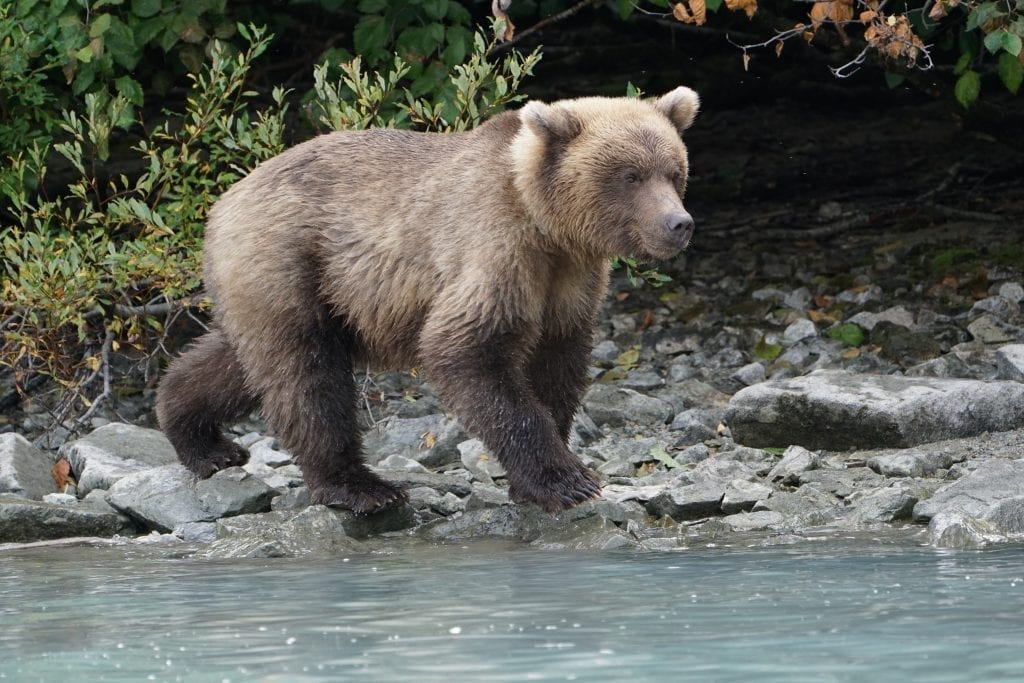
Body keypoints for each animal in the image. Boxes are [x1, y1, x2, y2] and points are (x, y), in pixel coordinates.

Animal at [155, 85, 700, 511]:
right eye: (630, 176)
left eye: (674, 171)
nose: (679, 223)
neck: (548, 228)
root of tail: (224, 201)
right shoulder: (495, 251)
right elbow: (467, 352)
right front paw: (567, 480)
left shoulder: (570, 283)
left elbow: (558, 364)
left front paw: (539, 480)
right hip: (290, 262)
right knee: (306, 376)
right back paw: (360, 487)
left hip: (283, 287)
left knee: (238, 362)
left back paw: (200, 440)